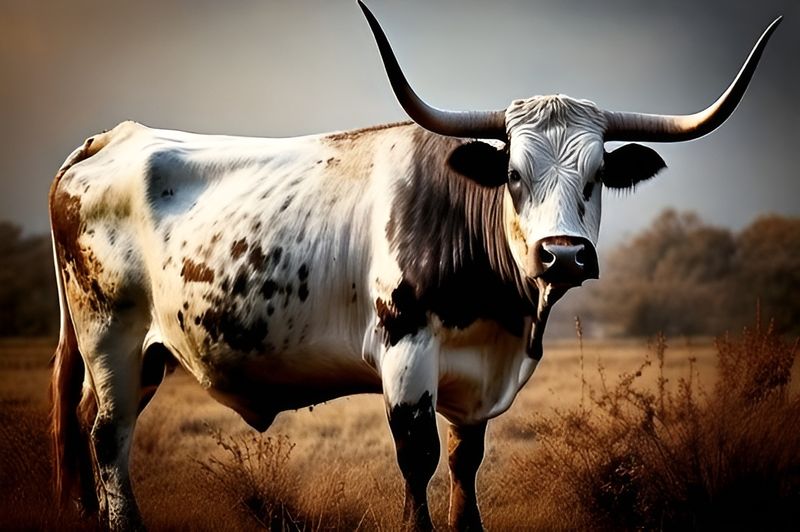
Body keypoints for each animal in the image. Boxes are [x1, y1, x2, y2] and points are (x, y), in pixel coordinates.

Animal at [49, 2, 780, 530]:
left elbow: (464, 465)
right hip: (110, 335)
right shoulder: (405, 354)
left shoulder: (477, 381)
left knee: (88, 423)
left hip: (143, 353)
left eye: (599, 175)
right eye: (512, 174)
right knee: (108, 437)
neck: (505, 315)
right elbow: (418, 459)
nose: (565, 254)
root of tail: (113, 137)